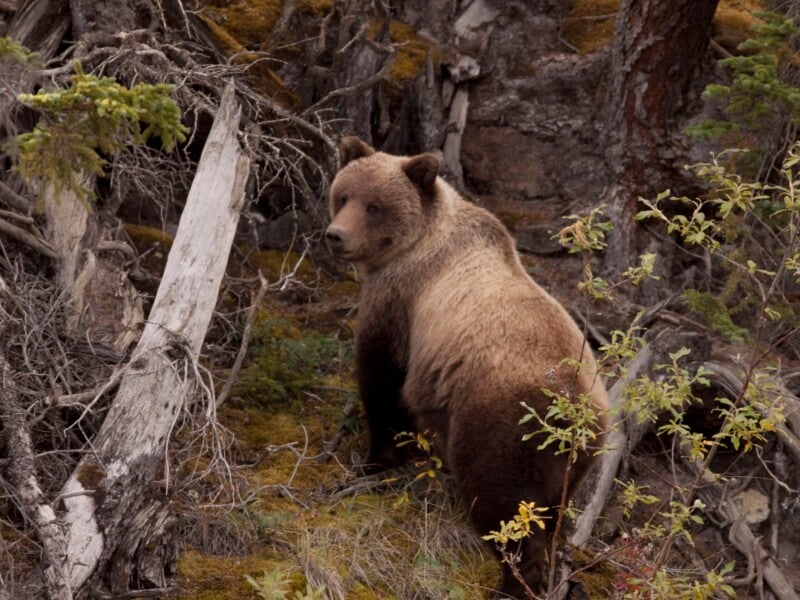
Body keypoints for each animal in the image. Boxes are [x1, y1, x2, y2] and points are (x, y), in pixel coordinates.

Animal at [325, 136, 609, 598]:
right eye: (343, 195)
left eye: (374, 205)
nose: (336, 235)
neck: (417, 241)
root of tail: (577, 409)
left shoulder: (399, 298)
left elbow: (382, 378)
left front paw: (378, 459)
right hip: (577, 461)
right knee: (549, 515)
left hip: (502, 423)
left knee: (503, 505)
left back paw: (512, 582)